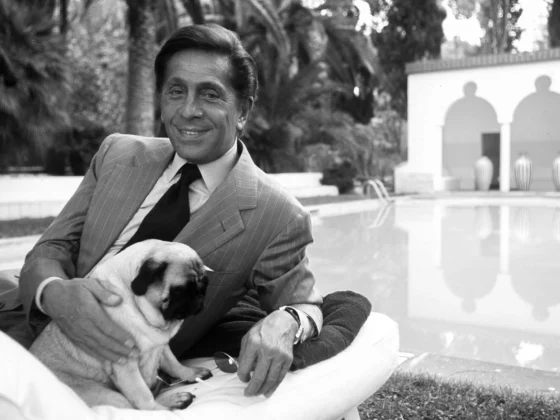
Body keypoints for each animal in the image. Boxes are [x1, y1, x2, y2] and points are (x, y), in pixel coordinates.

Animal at [29, 239, 212, 410]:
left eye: (205, 284)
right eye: (181, 290)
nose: (200, 295)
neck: (139, 307)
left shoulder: (160, 344)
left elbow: (173, 363)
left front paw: (189, 373)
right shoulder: (125, 365)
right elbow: (143, 397)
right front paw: (161, 408)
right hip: (103, 393)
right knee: (135, 407)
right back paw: (172, 403)